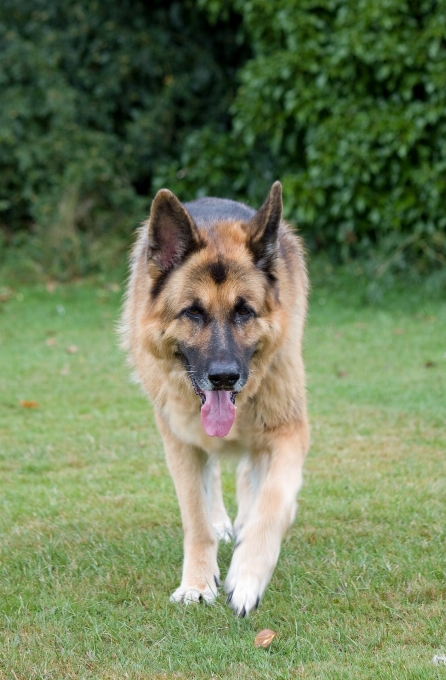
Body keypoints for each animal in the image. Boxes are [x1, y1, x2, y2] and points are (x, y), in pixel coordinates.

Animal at [121, 181, 310, 616]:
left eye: (244, 312)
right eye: (193, 312)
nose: (224, 377)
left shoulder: (290, 431)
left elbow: (274, 500)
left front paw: (248, 575)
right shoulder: (180, 442)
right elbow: (196, 518)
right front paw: (197, 583)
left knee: (251, 475)